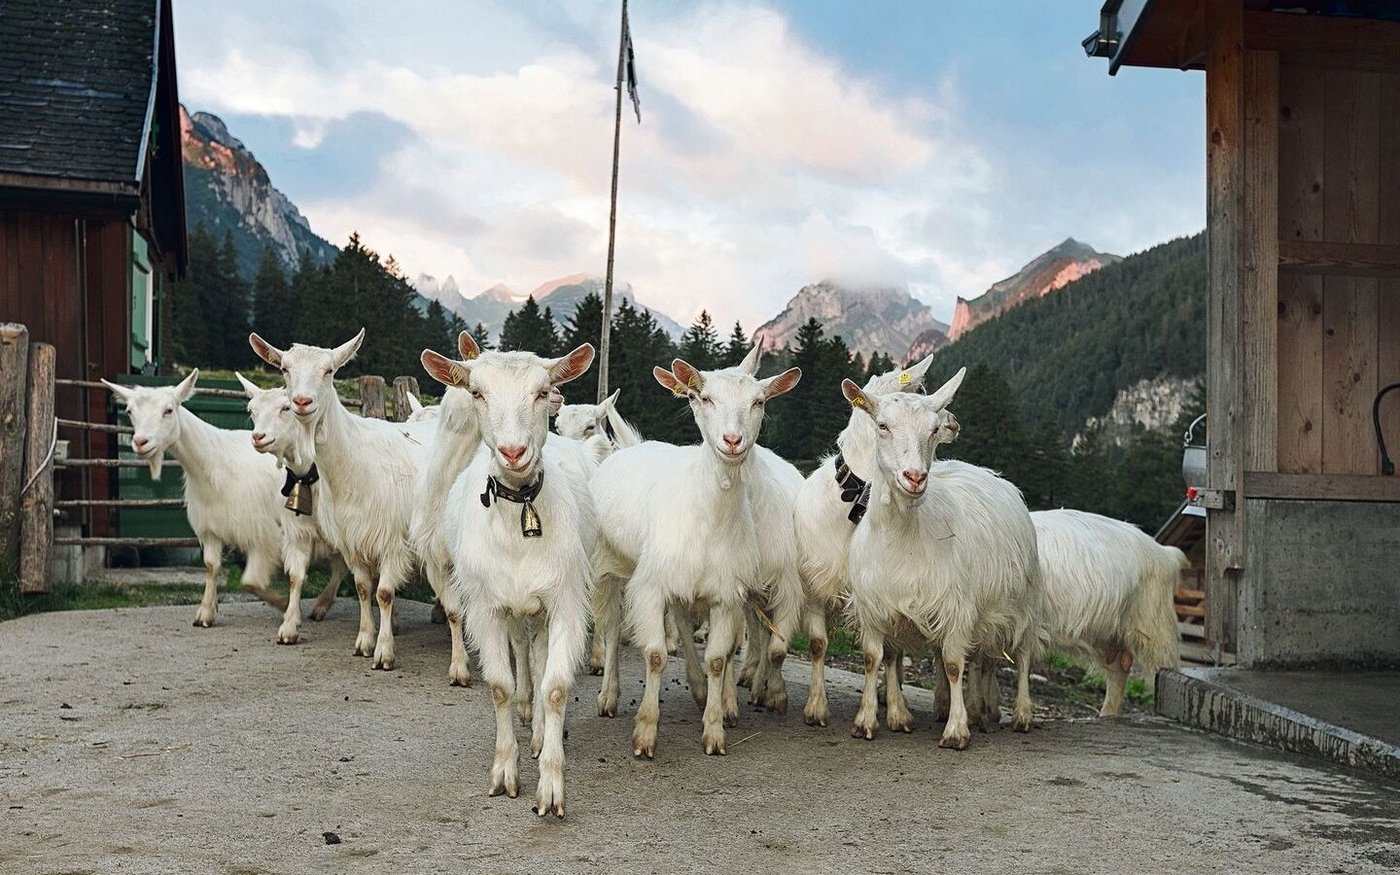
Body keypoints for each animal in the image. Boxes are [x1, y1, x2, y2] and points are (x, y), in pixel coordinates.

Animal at [421, 342, 599, 818]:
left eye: (543, 390)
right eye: (477, 392)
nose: (514, 452)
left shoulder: (564, 602)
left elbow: (554, 687)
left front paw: (551, 786)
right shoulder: (486, 607)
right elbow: (500, 686)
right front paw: (504, 773)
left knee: (537, 657)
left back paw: (535, 728)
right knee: (523, 650)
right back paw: (524, 709)